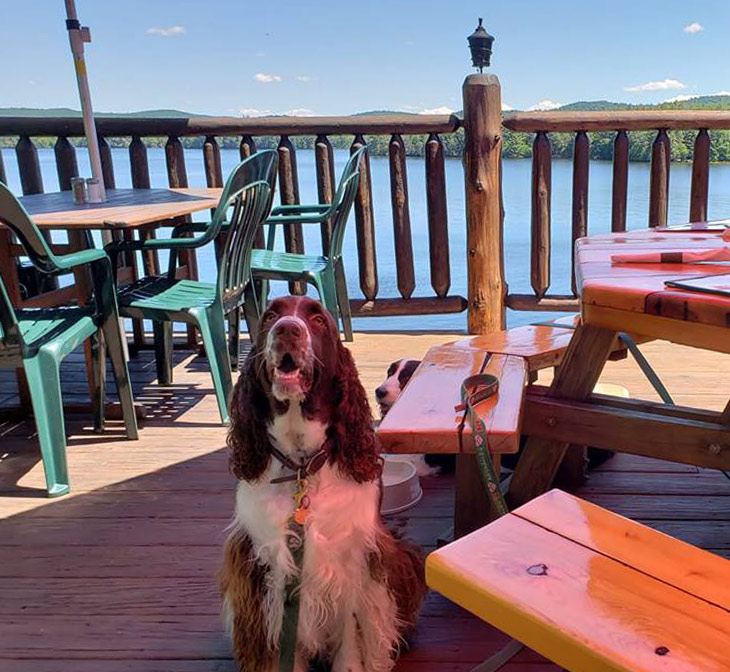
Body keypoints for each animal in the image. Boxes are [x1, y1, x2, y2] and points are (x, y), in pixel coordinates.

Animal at [222, 296, 426, 672]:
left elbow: (350, 630)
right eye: (269, 315)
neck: (302, 465)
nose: (287, 329)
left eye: (317, 318)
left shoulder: (354, 561)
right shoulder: (263, 563)